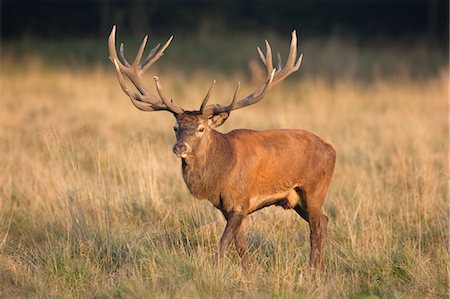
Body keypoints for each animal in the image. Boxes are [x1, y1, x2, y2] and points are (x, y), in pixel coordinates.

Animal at [108, 25, 334, 270]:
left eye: (201, 128)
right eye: (175, 127)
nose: (179, 147)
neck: (222, 172)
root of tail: (332, 149)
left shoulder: (241, 202)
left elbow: (223, 243)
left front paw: (215, 271)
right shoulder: (226, 208)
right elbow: (241, 245)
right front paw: (248, 273)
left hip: (314, 189)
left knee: (316, 227)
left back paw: (314, 270)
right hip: (296, 199)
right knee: (324, 220)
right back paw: (320, 268)